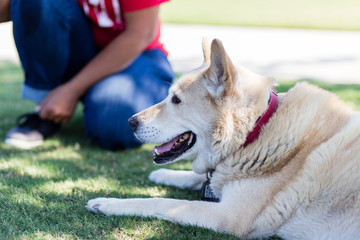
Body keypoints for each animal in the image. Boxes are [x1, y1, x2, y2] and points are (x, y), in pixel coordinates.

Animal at [87, 38, 360, 239]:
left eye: (176, 100)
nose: (131, 121)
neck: (256, 131)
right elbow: (200, 177)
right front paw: (163, 175)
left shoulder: (228, 216)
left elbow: (160, 203)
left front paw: (107, 203)